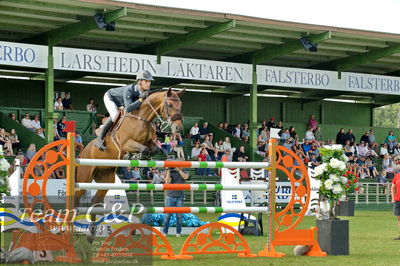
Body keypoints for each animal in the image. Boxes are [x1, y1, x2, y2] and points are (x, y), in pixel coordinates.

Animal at [74, 88, 184, 242]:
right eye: (169, 105)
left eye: (180, 105)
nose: (178, 128)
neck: (143, 119)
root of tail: (83, 151)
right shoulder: (126, 143)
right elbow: (142, 148)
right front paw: (133, 155)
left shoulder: (150, 142)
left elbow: (155, 148)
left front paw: (146, 155)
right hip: (85, 178)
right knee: (76, 197)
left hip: (106, 179)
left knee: (95, 201)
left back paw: (91, 234)